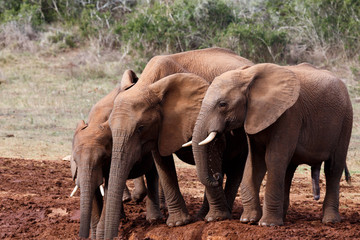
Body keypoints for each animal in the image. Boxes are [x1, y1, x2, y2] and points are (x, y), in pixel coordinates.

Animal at [104, 47, 253, 239]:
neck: (148, 84)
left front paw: (217, 218)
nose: (217, 176)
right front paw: (178, 223)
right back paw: (202, 215)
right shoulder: (160, 127)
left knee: (236, 167)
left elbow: (212, 149)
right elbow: (162, 164)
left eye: (140, 128)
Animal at [193, 62, 352, 226]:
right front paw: (248, 220)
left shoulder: (289, 114)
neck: (248, 75)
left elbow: (273, 158)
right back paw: (283, 217)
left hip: (346, 119)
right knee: (288, 169)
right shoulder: (254, 116)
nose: (217, 175)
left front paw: (267, 224)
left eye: (222, 104)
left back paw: (330, 221)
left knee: (333, 168)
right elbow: (254, 161)